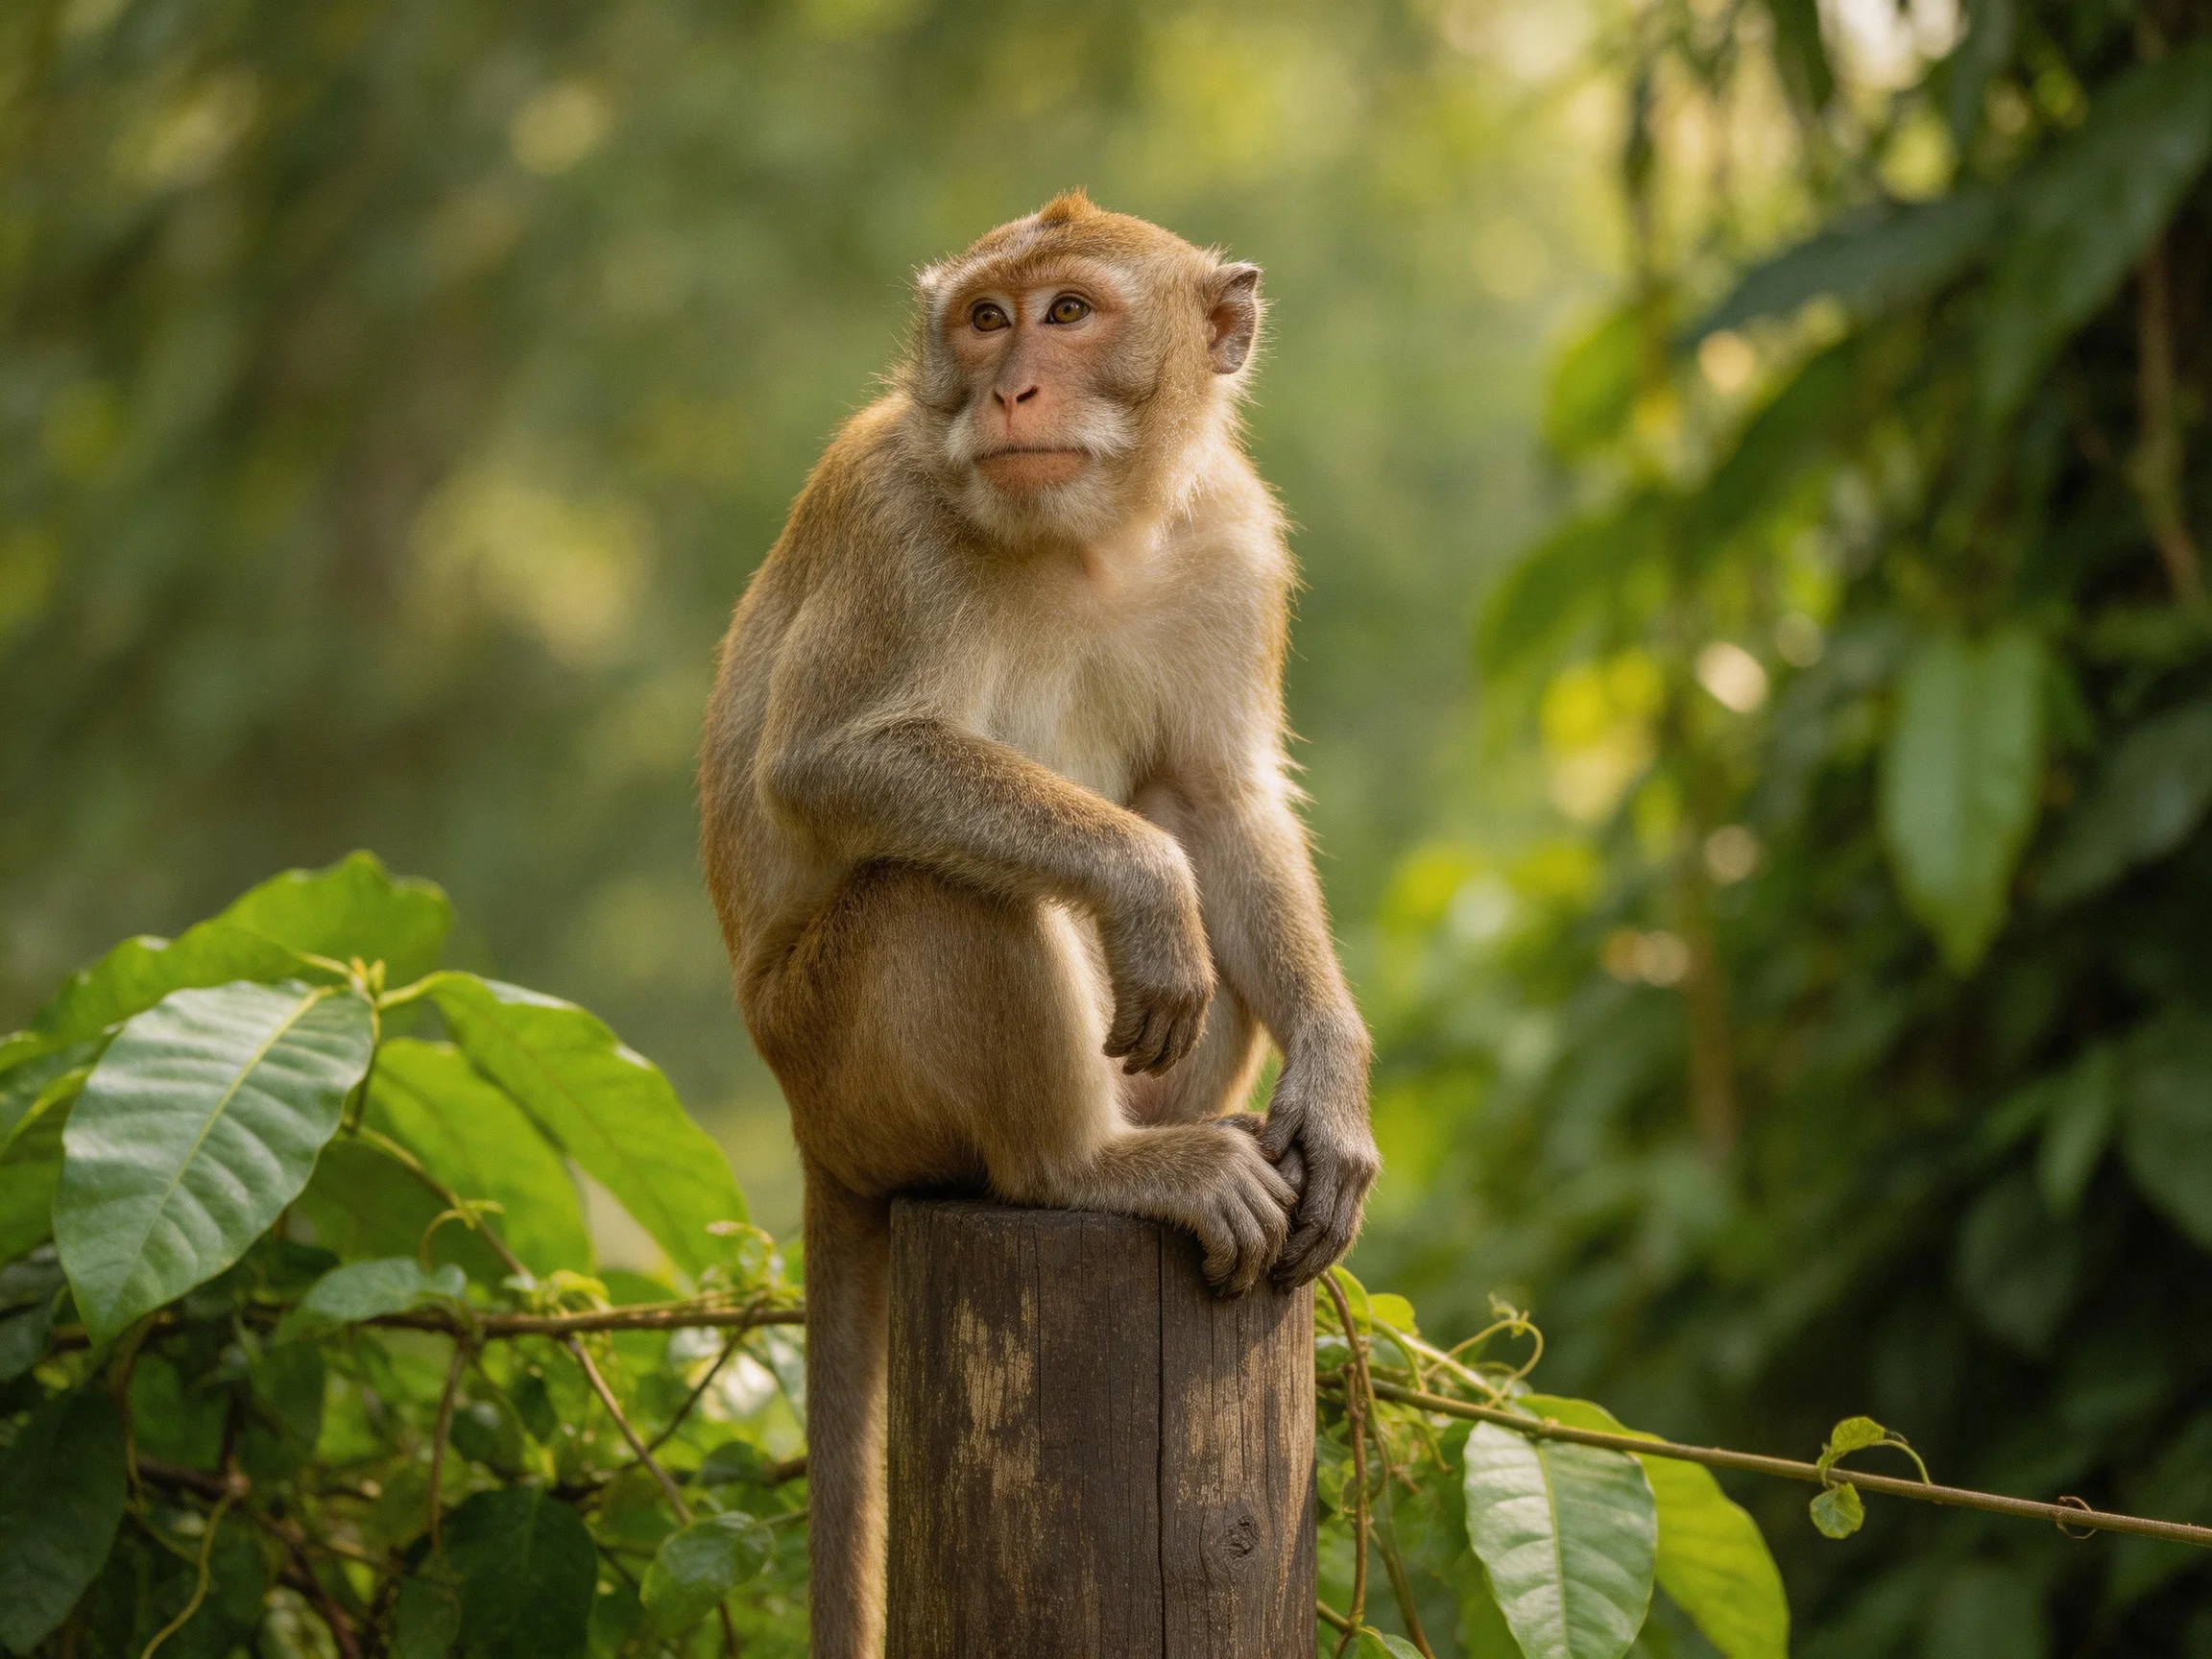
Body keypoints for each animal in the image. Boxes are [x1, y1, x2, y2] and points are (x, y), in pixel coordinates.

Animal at [699, 191, 1377, 1658]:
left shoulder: (1235, 541)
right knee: (948, 891)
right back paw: (1092, 1166)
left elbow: (1221, 800)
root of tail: (807, 1130)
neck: (1090, 537)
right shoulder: (891, 522)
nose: (1009, 386)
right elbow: (831, 762)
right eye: (984, 318)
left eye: (1069, 314)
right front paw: (1143, 887)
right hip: (840, 1061)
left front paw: (1338, 1092)